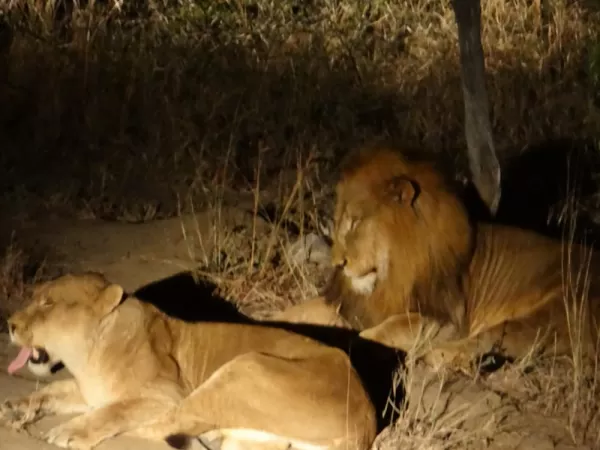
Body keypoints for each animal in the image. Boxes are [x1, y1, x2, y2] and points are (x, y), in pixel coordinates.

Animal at [2, 272, 400, 448]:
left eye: (47, 303)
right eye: (34, 297)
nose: (9, 324)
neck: (87, 355)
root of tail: (367, 422)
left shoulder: (165, 393)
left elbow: (116, 411)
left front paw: (72, 432)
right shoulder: (89, 390)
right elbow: (54, 390)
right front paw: (16, 407)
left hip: (244, 368)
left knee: (161, 427)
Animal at [274, 146, 600, 370]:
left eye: (355, 222)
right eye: (338, 220)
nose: (338, 264)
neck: (392, 272)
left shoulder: (446, 320)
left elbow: (382, 330)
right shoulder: (356, 304)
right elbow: (303, 310)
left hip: (552, 312)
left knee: (491, 340)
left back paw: (439, 356)